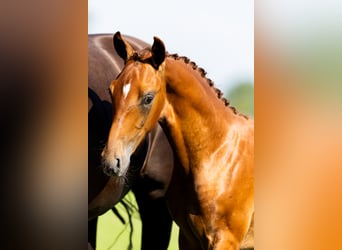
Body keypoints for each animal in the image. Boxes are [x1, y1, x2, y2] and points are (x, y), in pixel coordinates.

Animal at [101, 32, 254, 249]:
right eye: (111, 90)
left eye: (148, 98)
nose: (111, 161)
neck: (218, 153)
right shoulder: (187, 238)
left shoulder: (225, 240)